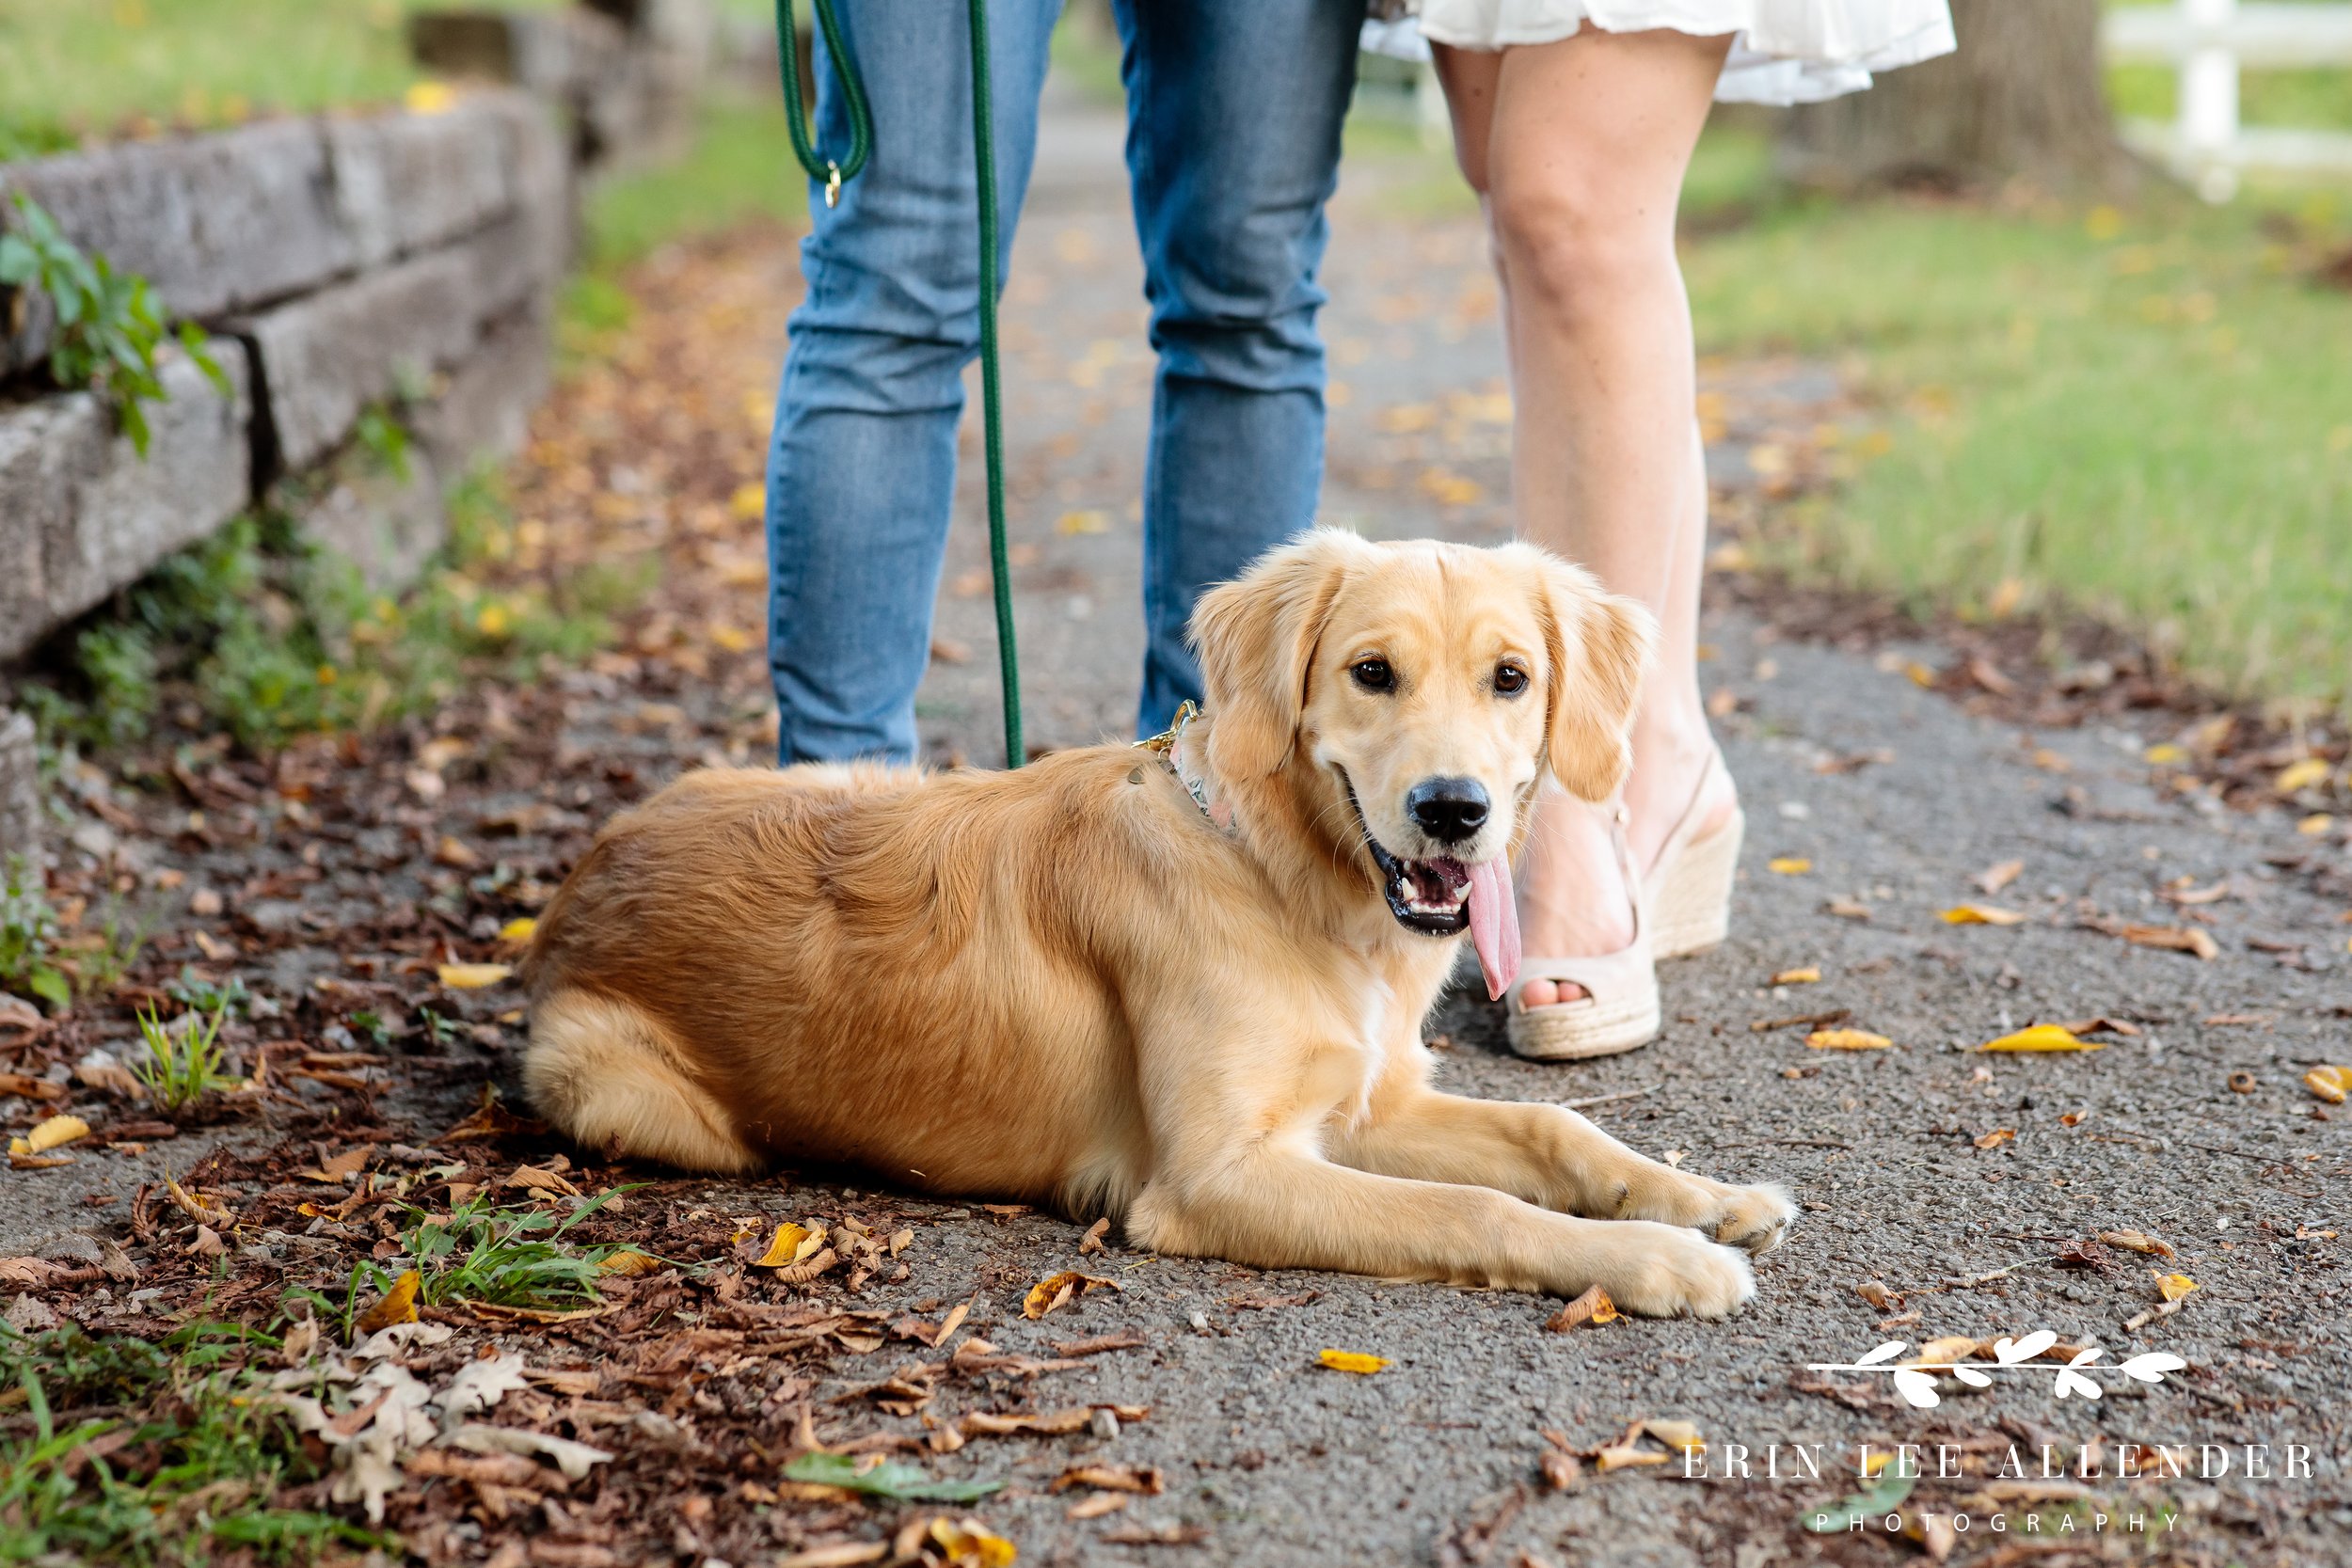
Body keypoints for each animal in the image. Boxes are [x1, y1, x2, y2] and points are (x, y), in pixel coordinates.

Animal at [524, 533, 1788, 1316]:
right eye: (1372, 672)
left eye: (1511, 677)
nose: (1452, 809)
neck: (1281, 876)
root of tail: (590, 863)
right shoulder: (1217, 1176)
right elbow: (1475, 1207)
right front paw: (1655, 1257)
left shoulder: (1366, 1107)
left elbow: (1553, 1129)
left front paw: (1703, 1198)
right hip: (616, 1086)